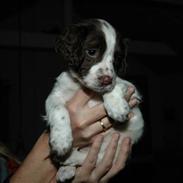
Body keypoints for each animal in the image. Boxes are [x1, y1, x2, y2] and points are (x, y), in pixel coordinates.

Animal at [45, 18, 144, 182]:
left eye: (116, 59)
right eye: (91, 51)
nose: (106, 80)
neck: (83, 86)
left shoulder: (131, 88)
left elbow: (116, 85)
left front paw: (117, 107)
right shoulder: (56, 94)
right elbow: (59, 110)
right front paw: (61, 140)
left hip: (116, 148)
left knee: (96, 158)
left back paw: (67, 160)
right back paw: (65, 167)